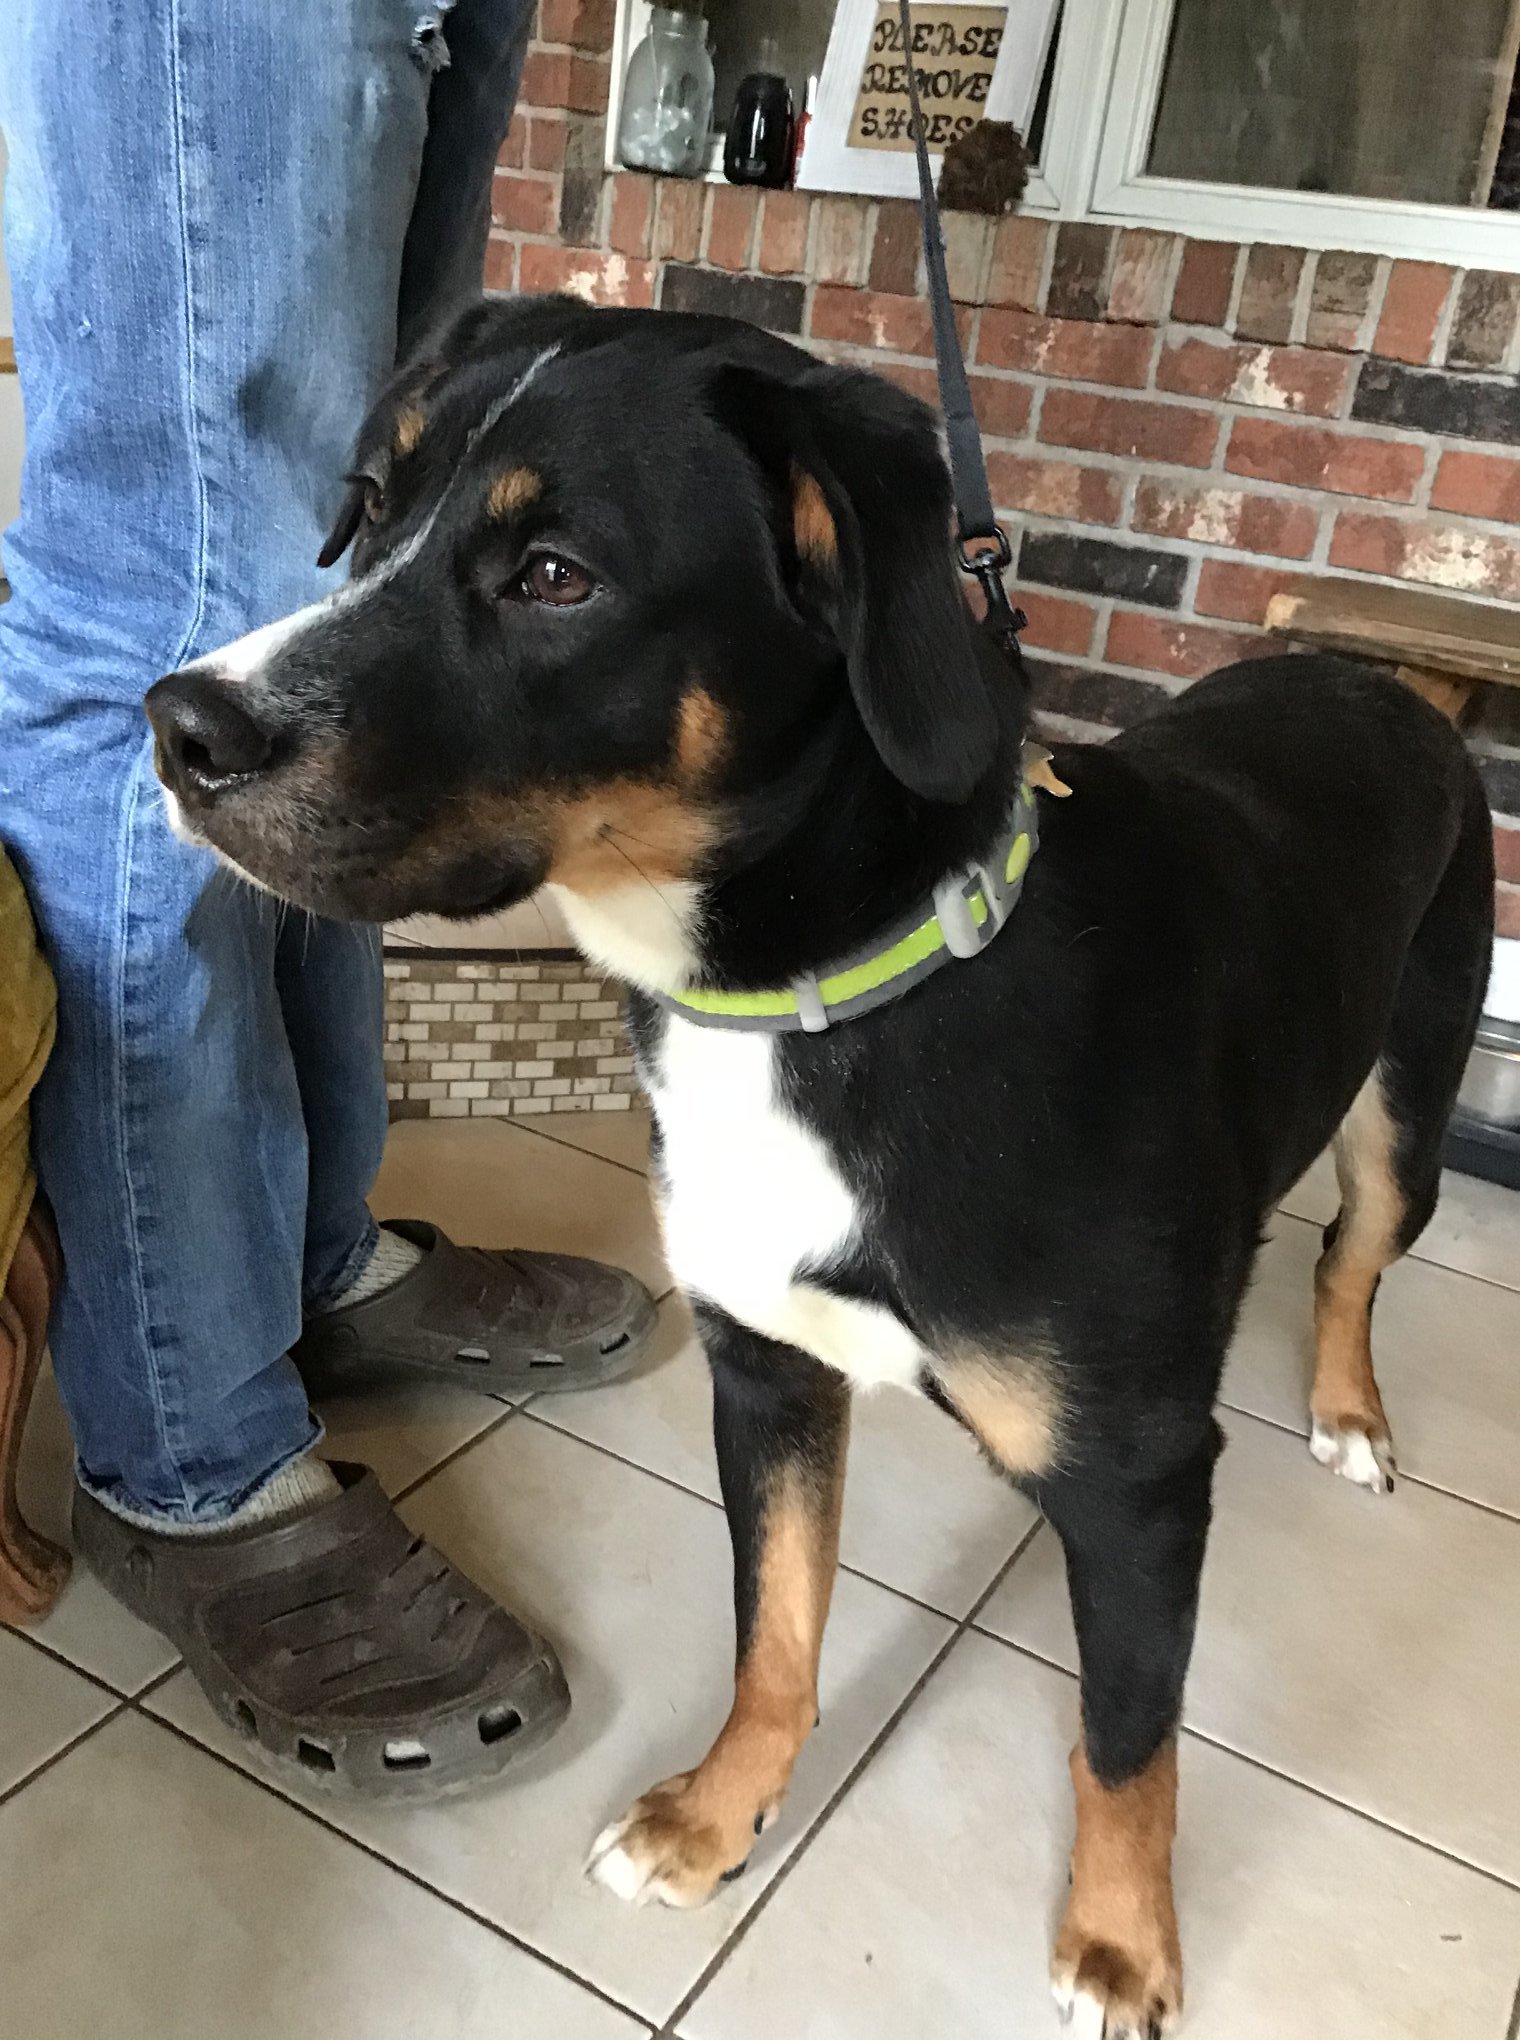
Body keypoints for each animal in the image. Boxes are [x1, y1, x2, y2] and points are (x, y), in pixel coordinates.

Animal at [147, 295, 1485, 2031]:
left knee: (1351, 1254)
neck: (826, 998)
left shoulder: (1136, 1482)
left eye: (555, 575)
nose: (183, 728)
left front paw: (1123, 1941)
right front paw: (719, 1816)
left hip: (1413, 1101)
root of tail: (1387, 685)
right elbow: (772, 1631)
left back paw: (1346, 1410)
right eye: (372, 504)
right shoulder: (767, 1374)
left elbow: (1128, 1741)